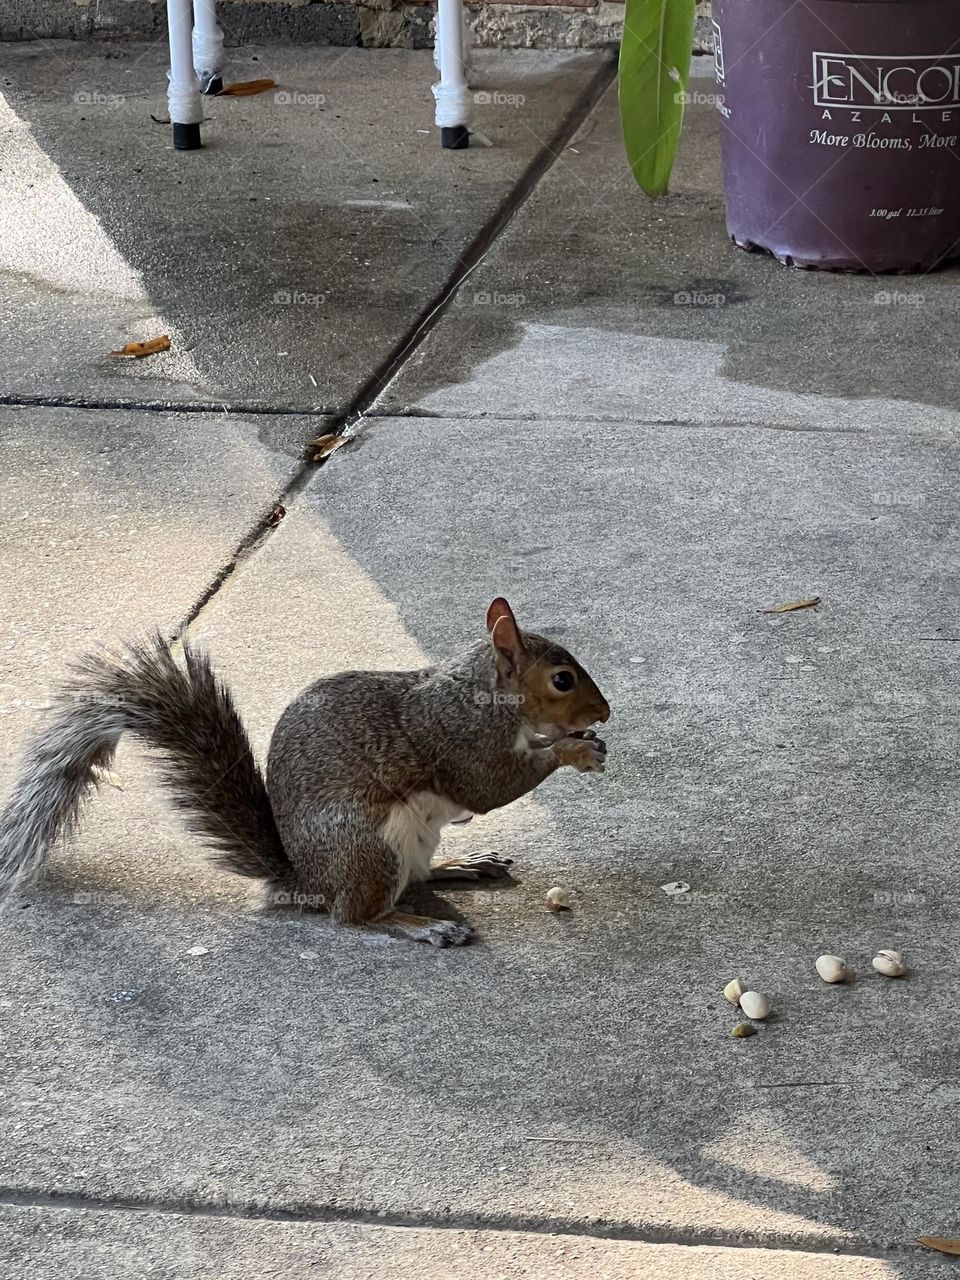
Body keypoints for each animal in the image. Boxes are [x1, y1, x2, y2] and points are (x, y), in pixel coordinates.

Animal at [0, 598, 609, 947]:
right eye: (561, 680)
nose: (603, 714)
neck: (482, 695)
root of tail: (305, 881)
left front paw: (580, 742)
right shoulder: (458, 740)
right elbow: (491, 786)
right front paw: (573, 751)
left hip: (408, 842)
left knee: (416, 878)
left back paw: (463, 864)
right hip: (368, 845)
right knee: (355, 916)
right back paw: (424, 925)